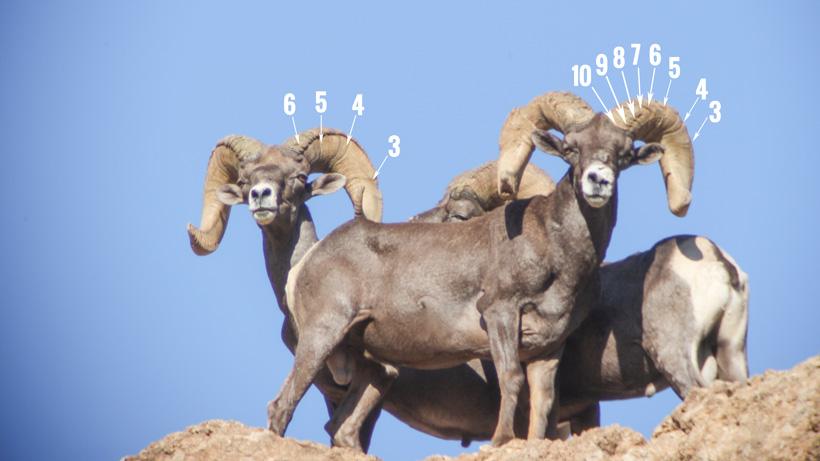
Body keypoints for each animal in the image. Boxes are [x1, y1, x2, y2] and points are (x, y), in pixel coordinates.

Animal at [266, 91, 695, 448]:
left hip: (373, 368)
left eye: (623, 154)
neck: (557, 250)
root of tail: (308, 261)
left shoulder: (548, 348)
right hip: (322, 336)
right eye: (572, 149)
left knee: (342, 428)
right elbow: (511, 380)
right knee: (281, 406)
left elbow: (543, 403)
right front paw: (502, 440)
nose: (598, 181)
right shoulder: (500, 315)